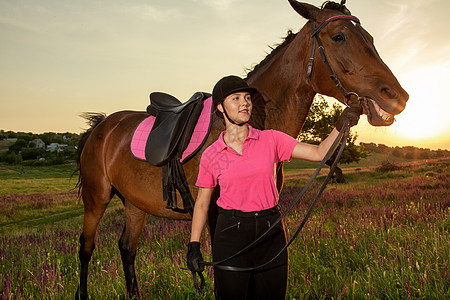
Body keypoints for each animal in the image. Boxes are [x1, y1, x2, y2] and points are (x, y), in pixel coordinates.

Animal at [76, 1, 408, 298]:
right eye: (339, 36)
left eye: (370, 38)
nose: (398, 97)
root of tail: (101, 126)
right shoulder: (213, 215)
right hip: (96, 201)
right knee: (85, 248)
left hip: (135, 205)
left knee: (127, 250)